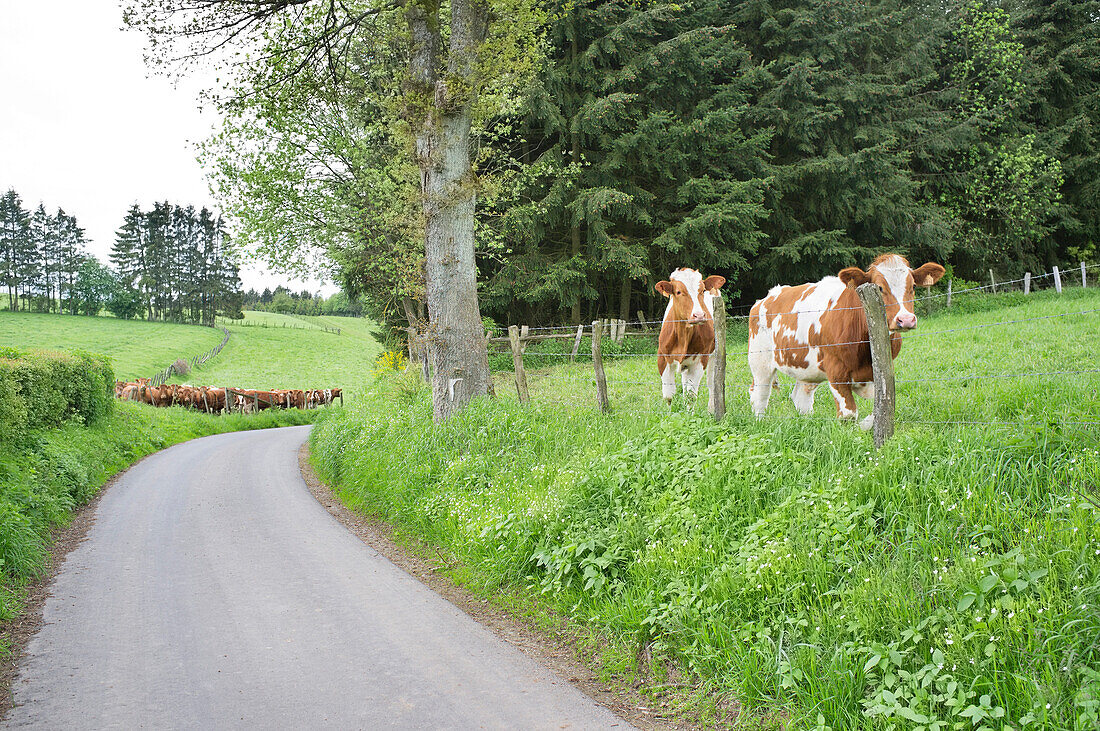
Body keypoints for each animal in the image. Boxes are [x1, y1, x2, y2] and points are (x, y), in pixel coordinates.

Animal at [655, 268, 726, 404]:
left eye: (702, 290)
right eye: (678, 292)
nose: (699, 315)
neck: (682, 337)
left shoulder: (700, 361)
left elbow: (690, 397)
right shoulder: (662, 359)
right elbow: (669, 396)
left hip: (714, 354)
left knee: (712, 384)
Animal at [748, 255, 946, 430]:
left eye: (913, 286)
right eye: (880, 287)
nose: (905, 320)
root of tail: (764, 298)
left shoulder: (880, 373)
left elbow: (881, 408)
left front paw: (866, 425)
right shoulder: (836, 370)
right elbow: (848, 414)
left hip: (808, 367)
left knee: (801, 397)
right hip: (759, 361)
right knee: (759, 394)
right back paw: (759, 422)